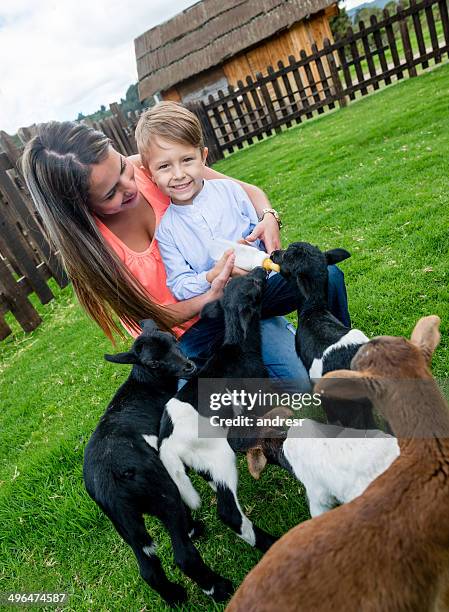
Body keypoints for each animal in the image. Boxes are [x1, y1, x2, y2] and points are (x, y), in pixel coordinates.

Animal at [82, 320, 233, 608]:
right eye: (153, 362)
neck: (147, 384)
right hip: (160, 490)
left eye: (174, 340)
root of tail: (110, 480)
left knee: (147, 567)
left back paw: (175, 596)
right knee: (183, 556)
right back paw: (218, 588)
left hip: (123, 519)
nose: (188, 367)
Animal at [158, 268, 276, 556]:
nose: (261, 269)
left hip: (202, 464)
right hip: (217, 455)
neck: (239, 345)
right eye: (254, 283)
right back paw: (270, 542)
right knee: (229, 512)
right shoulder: (259, 394)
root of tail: (167, 445)